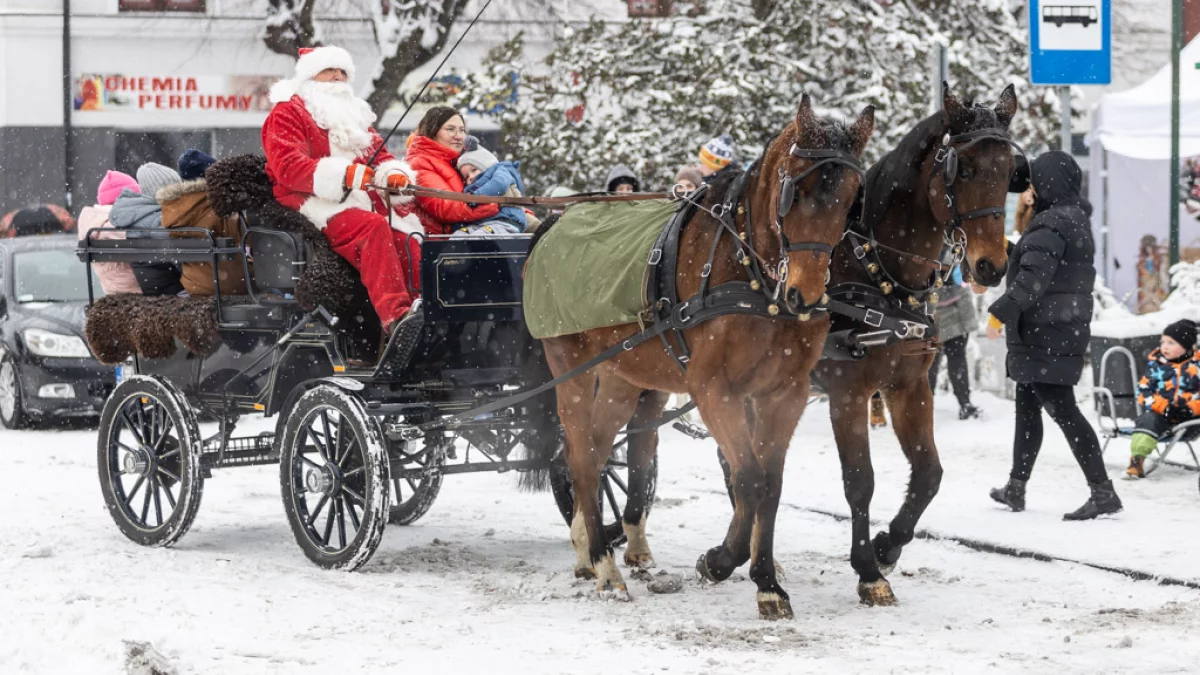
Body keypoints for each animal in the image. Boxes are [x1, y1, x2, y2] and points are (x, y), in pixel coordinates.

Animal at [537, 96, 873, 619]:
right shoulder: (715, 390)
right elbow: (749, 478)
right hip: (571, 370)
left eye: (852, 196)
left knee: (594, 450)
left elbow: (770, 484)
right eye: (794, 191)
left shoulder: (785, 393)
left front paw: (765, 579)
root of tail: (553, 220)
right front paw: (724, 561)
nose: (806, 294)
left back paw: (588, 551)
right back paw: (606, 566)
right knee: (584, 460)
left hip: (622, 376)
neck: (754, 277)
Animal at [811, 82, 1017, 605]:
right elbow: (859, 481)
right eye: (964, 169)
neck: (877, 273)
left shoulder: (907, 386)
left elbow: (928, 474)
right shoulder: (847, 393)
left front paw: (888, 545)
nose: (990, 267)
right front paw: (868, 569)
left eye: (1011, 171)